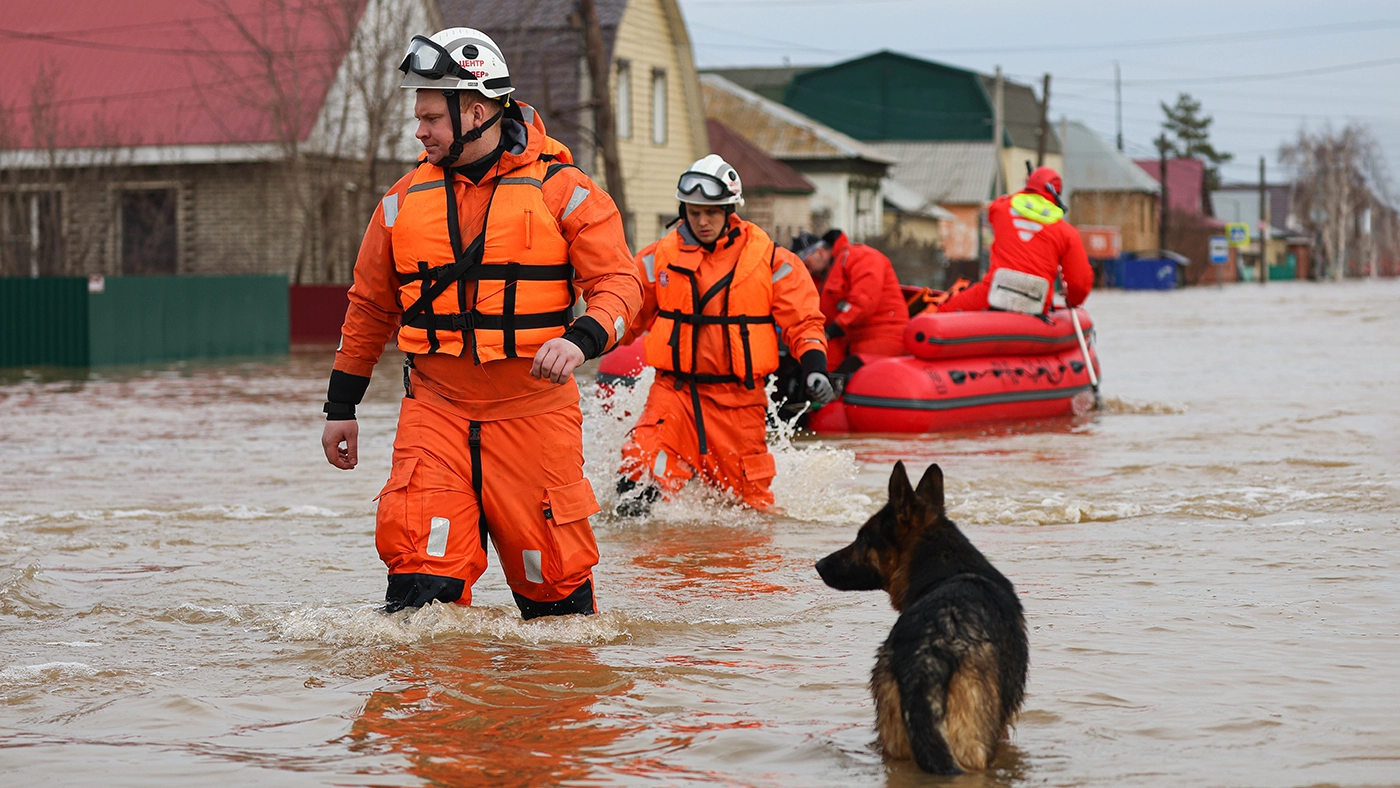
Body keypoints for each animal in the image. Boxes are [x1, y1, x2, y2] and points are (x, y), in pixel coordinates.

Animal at [812, 461, 1030, 778]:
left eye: (862, 539)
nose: (819, 564)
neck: (949, 568)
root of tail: (926, 658)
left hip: (897, 743)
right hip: (974, 748)